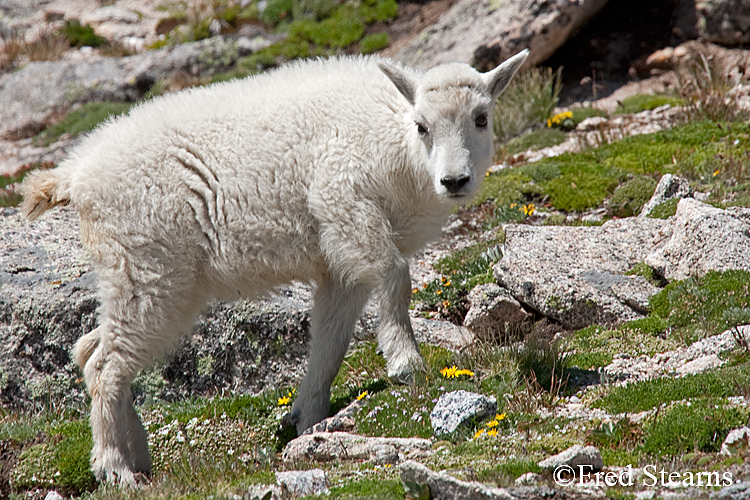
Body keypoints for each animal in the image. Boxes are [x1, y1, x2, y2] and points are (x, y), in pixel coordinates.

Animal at [19, 51, 528, 484]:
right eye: (422, 126)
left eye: (481, 118)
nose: (455, 180)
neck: (394, 140)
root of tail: (74, 178)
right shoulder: (345, 206)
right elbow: (395, 277)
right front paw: (407, 362)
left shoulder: (337, 261)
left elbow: (331, 338)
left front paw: (307, 415)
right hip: (148, 270)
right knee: (104, 364)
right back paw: (114, 467)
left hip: (140, 278)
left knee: (90, 349)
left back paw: (138, 457)